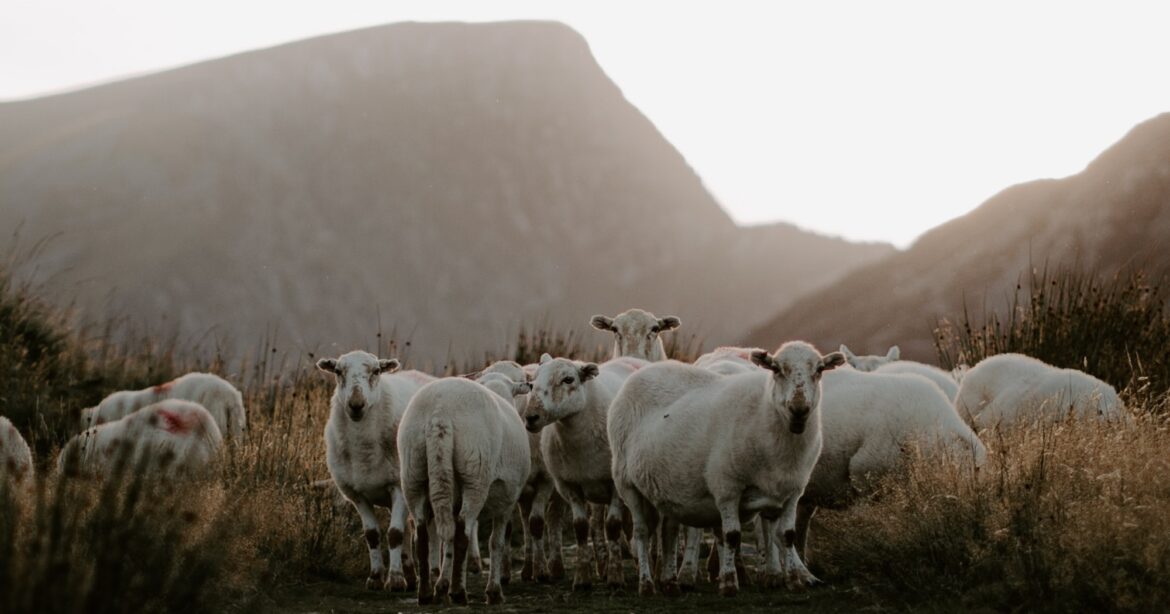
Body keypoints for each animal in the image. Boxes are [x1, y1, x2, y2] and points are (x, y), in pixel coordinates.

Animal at [317, 351, 435, 592]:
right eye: (338, 371)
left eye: (377, 371)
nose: (356, 404)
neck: (364, 452)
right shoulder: (356, 494)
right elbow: (373, 535)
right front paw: (376, 577)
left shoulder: (398, 486)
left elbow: (394, 534)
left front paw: (395, 579)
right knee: (409, 529)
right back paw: (411, 577)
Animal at [398, 377, 531, 605]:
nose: (529, 384)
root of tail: (440, 413)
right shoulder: (508, 499)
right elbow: (496, 542)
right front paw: (494, 592)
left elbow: (448, 543)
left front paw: (442, 586)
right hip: (475, 474)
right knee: (462, 532)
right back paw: (459, 593)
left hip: (412, 472)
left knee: (422, 536)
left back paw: (425, 594)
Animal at [476, 361, 567, 583]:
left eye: (518, 382)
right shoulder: (512, 487)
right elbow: (509, 529)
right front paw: (504, 573)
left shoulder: (545, 480)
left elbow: (537, 523)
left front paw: (542, 572)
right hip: (524, 491)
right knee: (525, 519)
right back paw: (526, 569)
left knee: (553, 518)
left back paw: (555, 566)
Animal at [523, 352, 647, 590]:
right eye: (531, 385)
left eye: (568, 379)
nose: (531, 417)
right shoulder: (568, 485)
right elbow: (580, 527)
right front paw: (582, 579)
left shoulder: (615, 485)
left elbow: (613, 526)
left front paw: (616, 577)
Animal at [608, 342, 845, 597]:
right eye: (776, 369)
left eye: (819, 370)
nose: (799, 408)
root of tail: (642, 371)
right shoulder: (727, 487)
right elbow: (731, 536)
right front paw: (729, 583)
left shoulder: (792, 490)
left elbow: (786, 535)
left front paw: (792, 580)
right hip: (626, 482)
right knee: (642, 532)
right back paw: (646, 584)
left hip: (664, 486)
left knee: (668, 531)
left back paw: (670, 582)